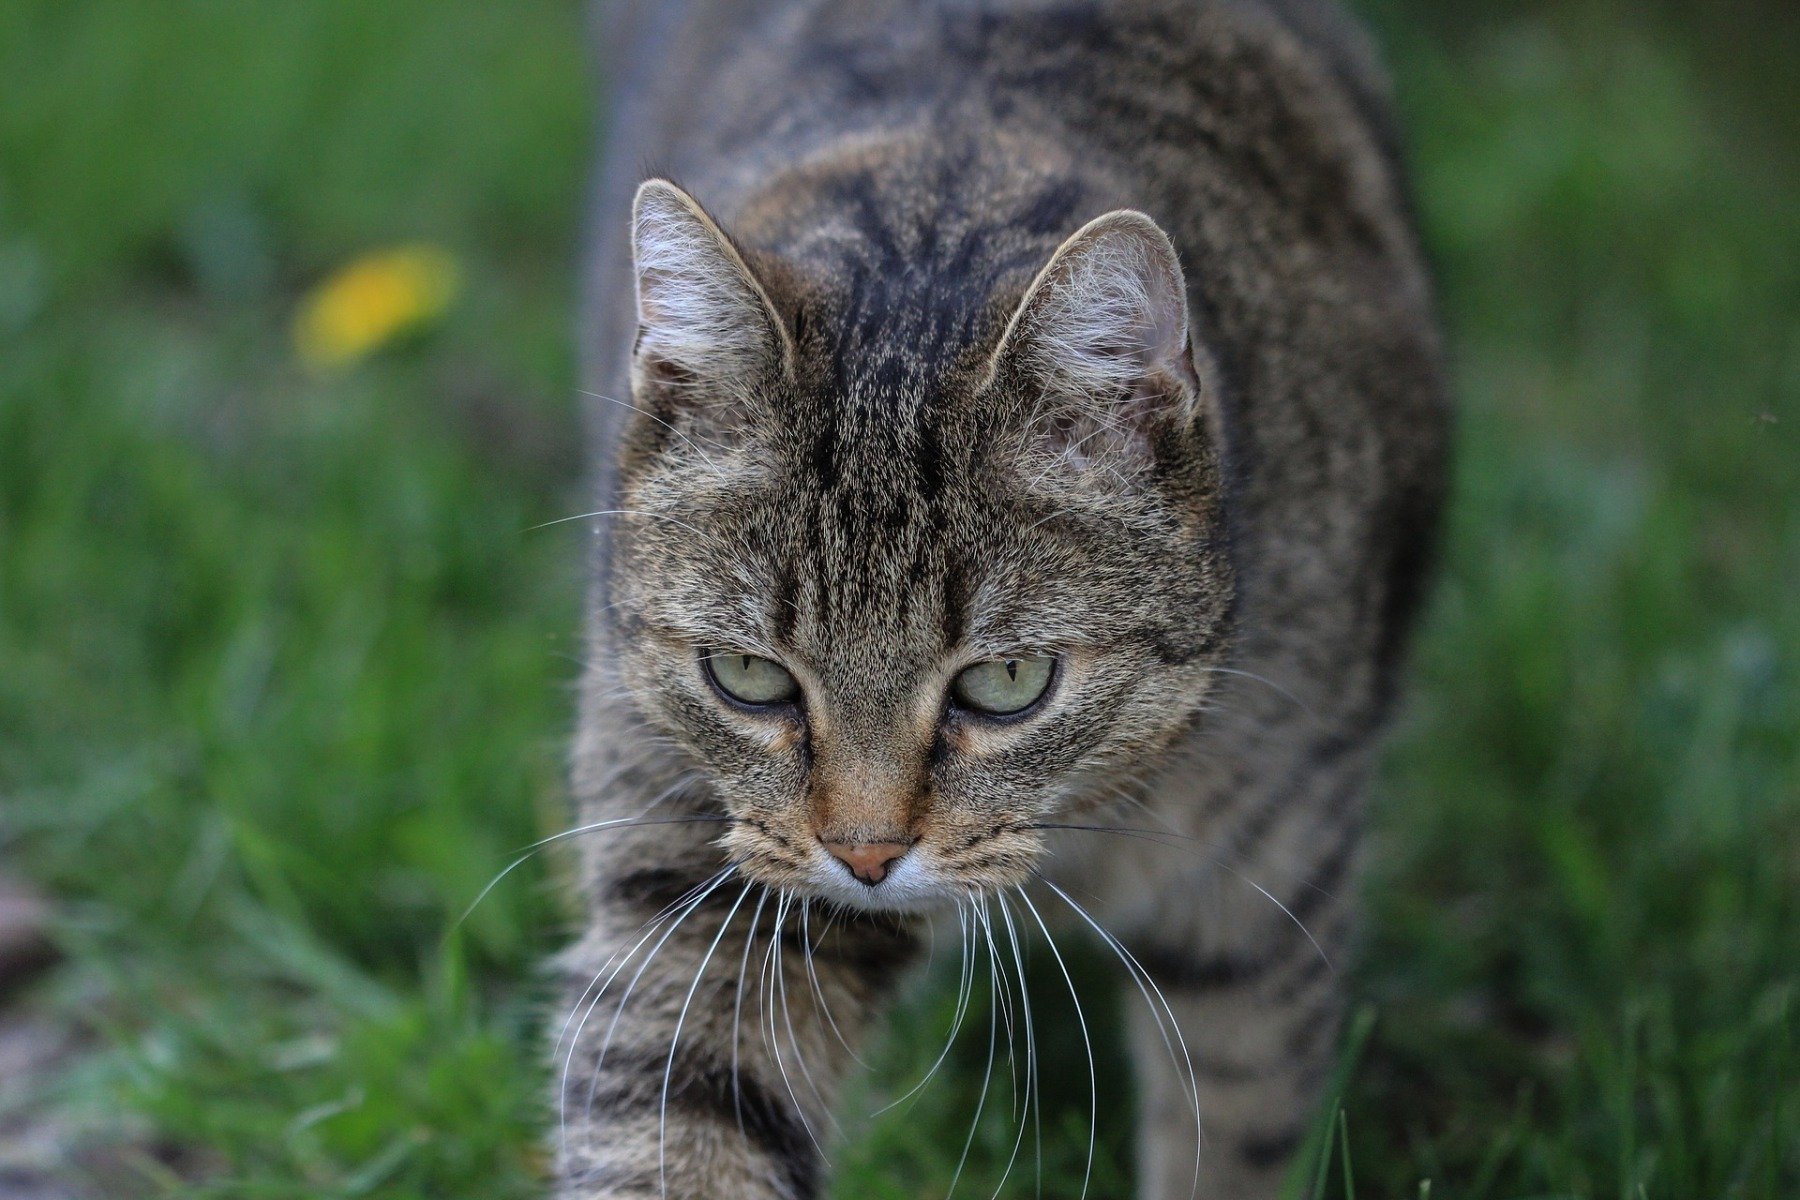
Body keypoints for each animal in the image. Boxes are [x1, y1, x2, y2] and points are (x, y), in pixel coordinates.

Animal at [558, 2, 1447, 1200]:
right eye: (747, 676)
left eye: (1007, 682)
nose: (866, 856)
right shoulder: (702, 884)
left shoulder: (1265, 898)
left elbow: (1236, 1126)